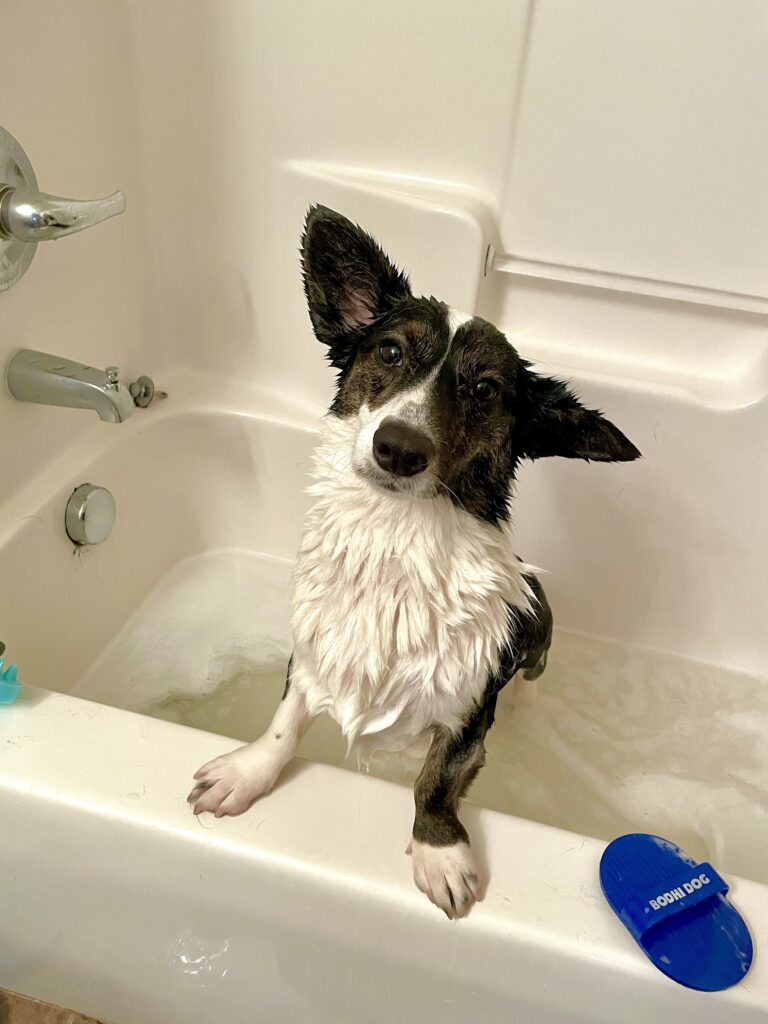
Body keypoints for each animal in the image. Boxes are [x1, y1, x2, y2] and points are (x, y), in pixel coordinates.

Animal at [189, 205, 638, 921]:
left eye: (484, 389)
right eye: (390, 351)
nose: (398, 448)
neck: (395, 539)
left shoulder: (466, 713)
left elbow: (436, 778)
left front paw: (439, 852)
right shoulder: (310, 653)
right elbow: (284, 724)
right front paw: (246, 773)